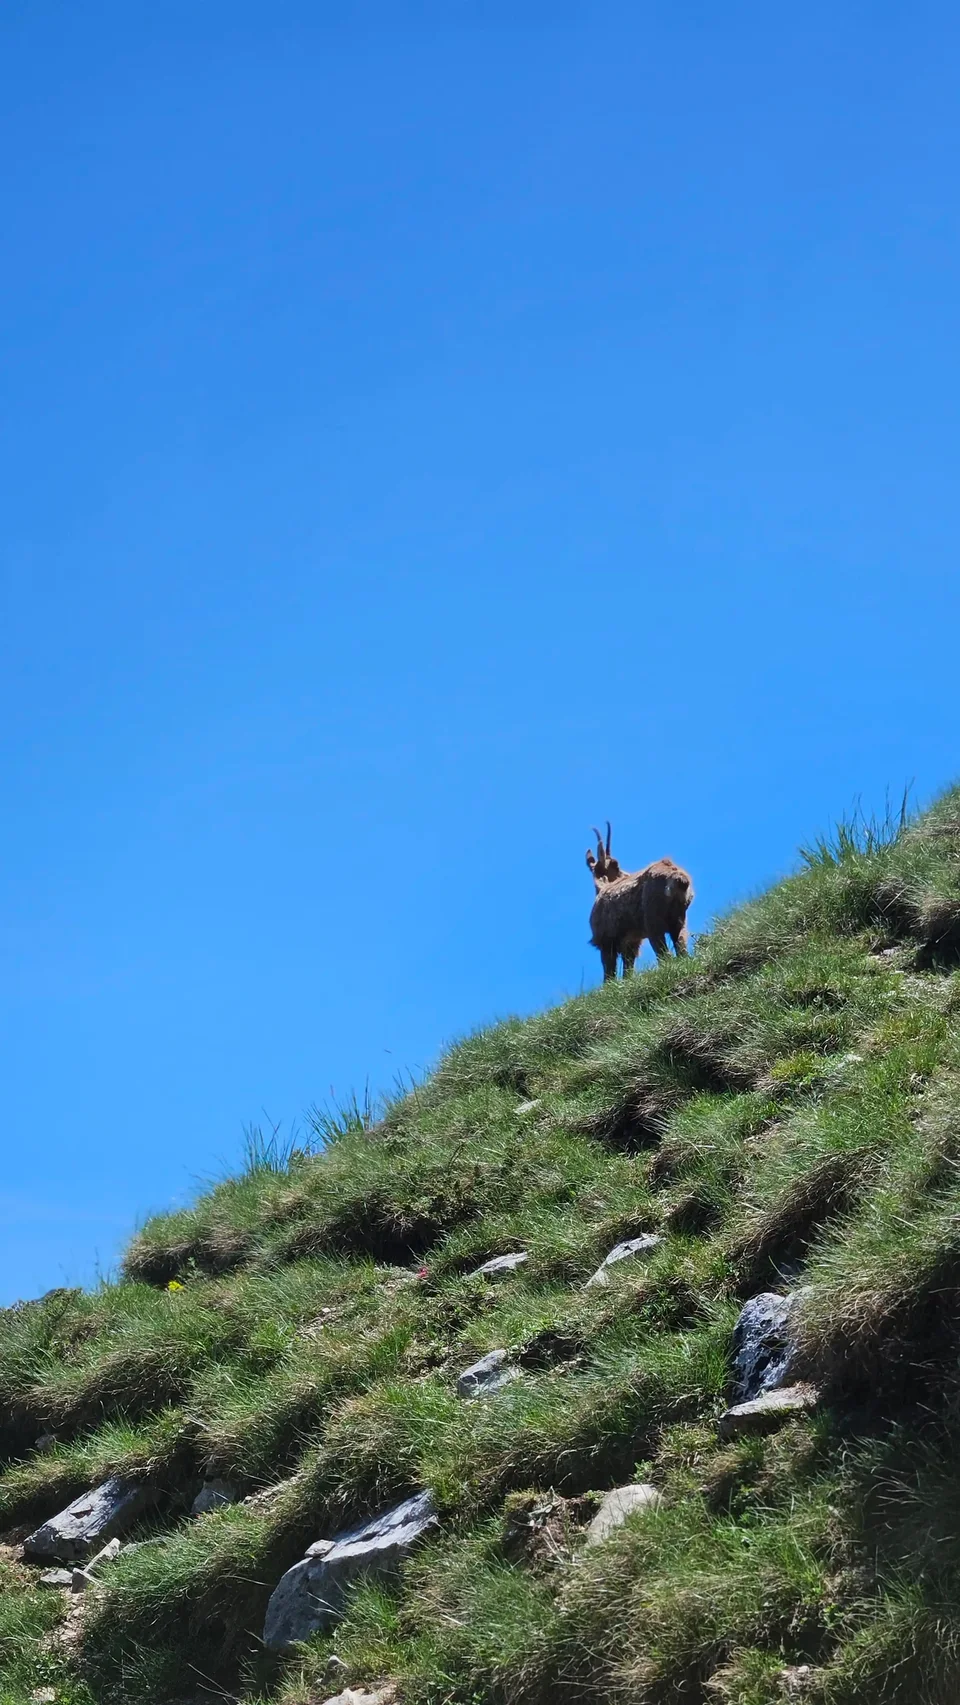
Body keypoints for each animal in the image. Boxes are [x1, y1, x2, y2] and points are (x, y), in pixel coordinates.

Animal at [586, 822, 694, 979]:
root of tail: (677, 877)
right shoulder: (632, 943)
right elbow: (628, 971)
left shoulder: (606, 942)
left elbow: (609, 973)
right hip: (679, 918)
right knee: (681, 946)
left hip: (653, 920)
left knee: (663, 953)